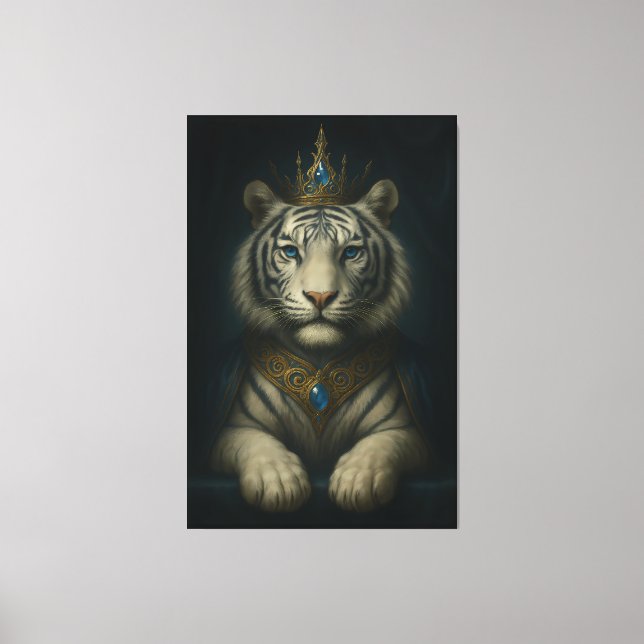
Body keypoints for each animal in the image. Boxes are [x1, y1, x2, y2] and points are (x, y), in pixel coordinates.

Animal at [209, 179, 429, 512]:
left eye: (350, 252)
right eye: (290, 251)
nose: (320, 296)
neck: (319, 358)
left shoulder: (404, 429)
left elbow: (381, 444)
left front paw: (357, 481)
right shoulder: (232, 427)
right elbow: (254, 442)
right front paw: (278, 481)